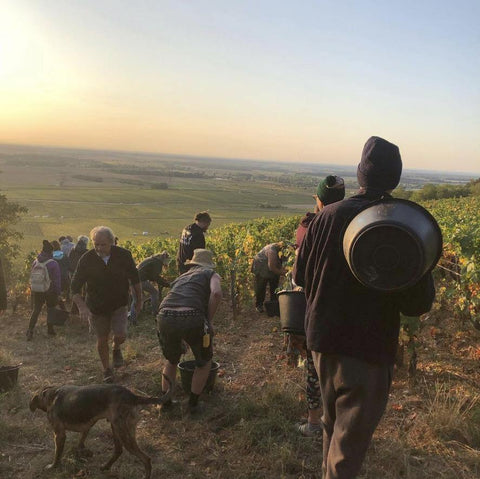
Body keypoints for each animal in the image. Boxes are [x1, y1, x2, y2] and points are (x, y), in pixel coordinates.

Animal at [29, 382, 171, 479]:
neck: (50, 394)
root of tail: (132, 396)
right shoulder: (87, 426)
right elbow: (80, 442)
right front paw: (84, 452)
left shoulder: (59, 434)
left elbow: (57, 454)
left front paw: (53, 466)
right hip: (117, 428)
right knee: (118, 451)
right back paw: (105, 467)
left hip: (123, 432)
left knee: (146, 459)